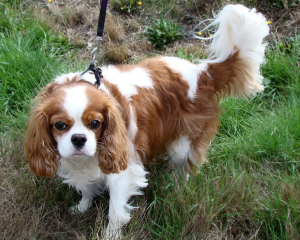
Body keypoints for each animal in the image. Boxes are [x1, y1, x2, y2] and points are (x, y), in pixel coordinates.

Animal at [24, 4, 270, 238]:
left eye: (95, 124)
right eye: (59, 125)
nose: (78, 139)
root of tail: (203, 72)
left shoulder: (122, 168)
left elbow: (115, 211)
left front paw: (111, 235)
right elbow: (85, 187)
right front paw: (83, 206)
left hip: (182, 143)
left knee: (186, 167)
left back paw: (178, 188)